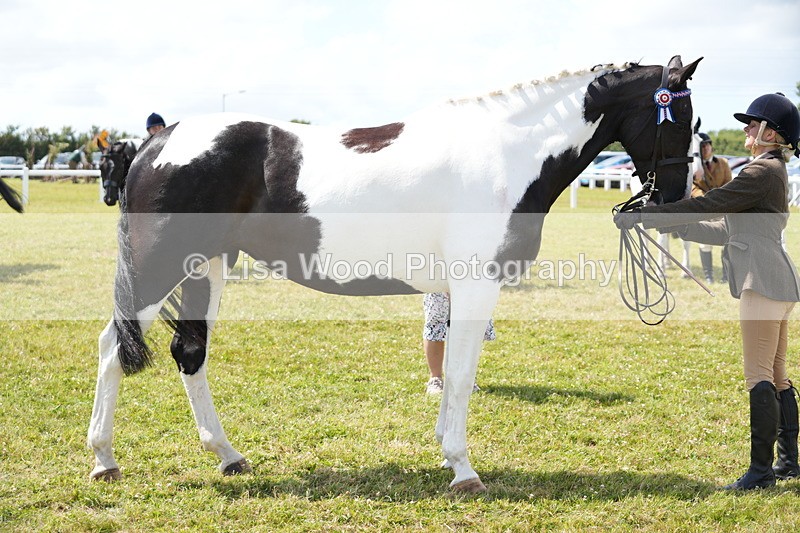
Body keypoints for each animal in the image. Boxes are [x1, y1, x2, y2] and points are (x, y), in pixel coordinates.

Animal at [88, 55, 701, 492]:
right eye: (680, 120)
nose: (671, 197)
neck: (507, 155)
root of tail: (159, 142)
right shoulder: (476, 286)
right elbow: (459, 376)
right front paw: (463, 470)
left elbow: (452, 373)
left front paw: (448, 456)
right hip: (159, 269)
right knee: (113, 347)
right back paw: (104, 461)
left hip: (206, 269)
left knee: (190, 352)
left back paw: (228, 456)